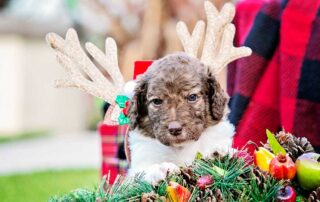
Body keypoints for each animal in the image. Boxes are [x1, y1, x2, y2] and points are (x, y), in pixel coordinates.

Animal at [127, 52, 235, 183]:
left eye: (192, 97)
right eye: (157, 101)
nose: (175, 129)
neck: (181, 147)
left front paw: (218, 152)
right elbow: (140, 173)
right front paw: (160, 169)